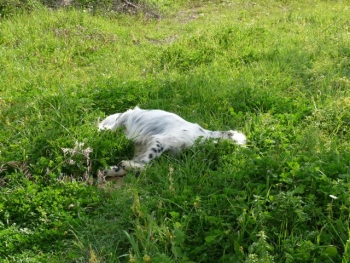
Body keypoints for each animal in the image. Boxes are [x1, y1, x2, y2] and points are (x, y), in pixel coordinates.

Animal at [98, 106, 246, 177]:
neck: (203, 136)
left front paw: (118, 168)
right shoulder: (160, 141)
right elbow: (146, 163)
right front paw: (127, 165)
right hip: (117, 124)